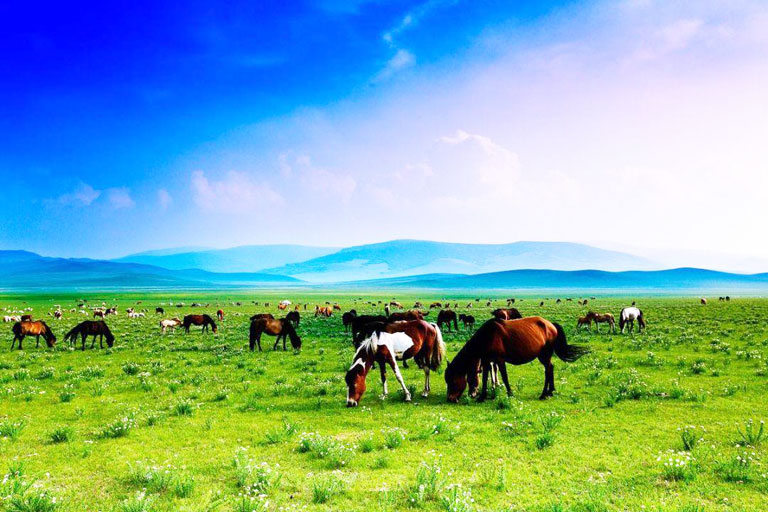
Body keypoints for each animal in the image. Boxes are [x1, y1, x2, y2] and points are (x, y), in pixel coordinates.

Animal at [444, 316, 588, 404]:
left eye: (452, 381)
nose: (450, 399)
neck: (488, 336)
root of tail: (550, 325)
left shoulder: (500, 360)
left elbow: (504, 377)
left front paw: (510, 394)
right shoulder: (486, 361)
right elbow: (485, 378)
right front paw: (482, 397)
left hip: (544, 355)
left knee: (548, 370)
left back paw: (543, 394)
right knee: (551, 368)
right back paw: (550, 391)